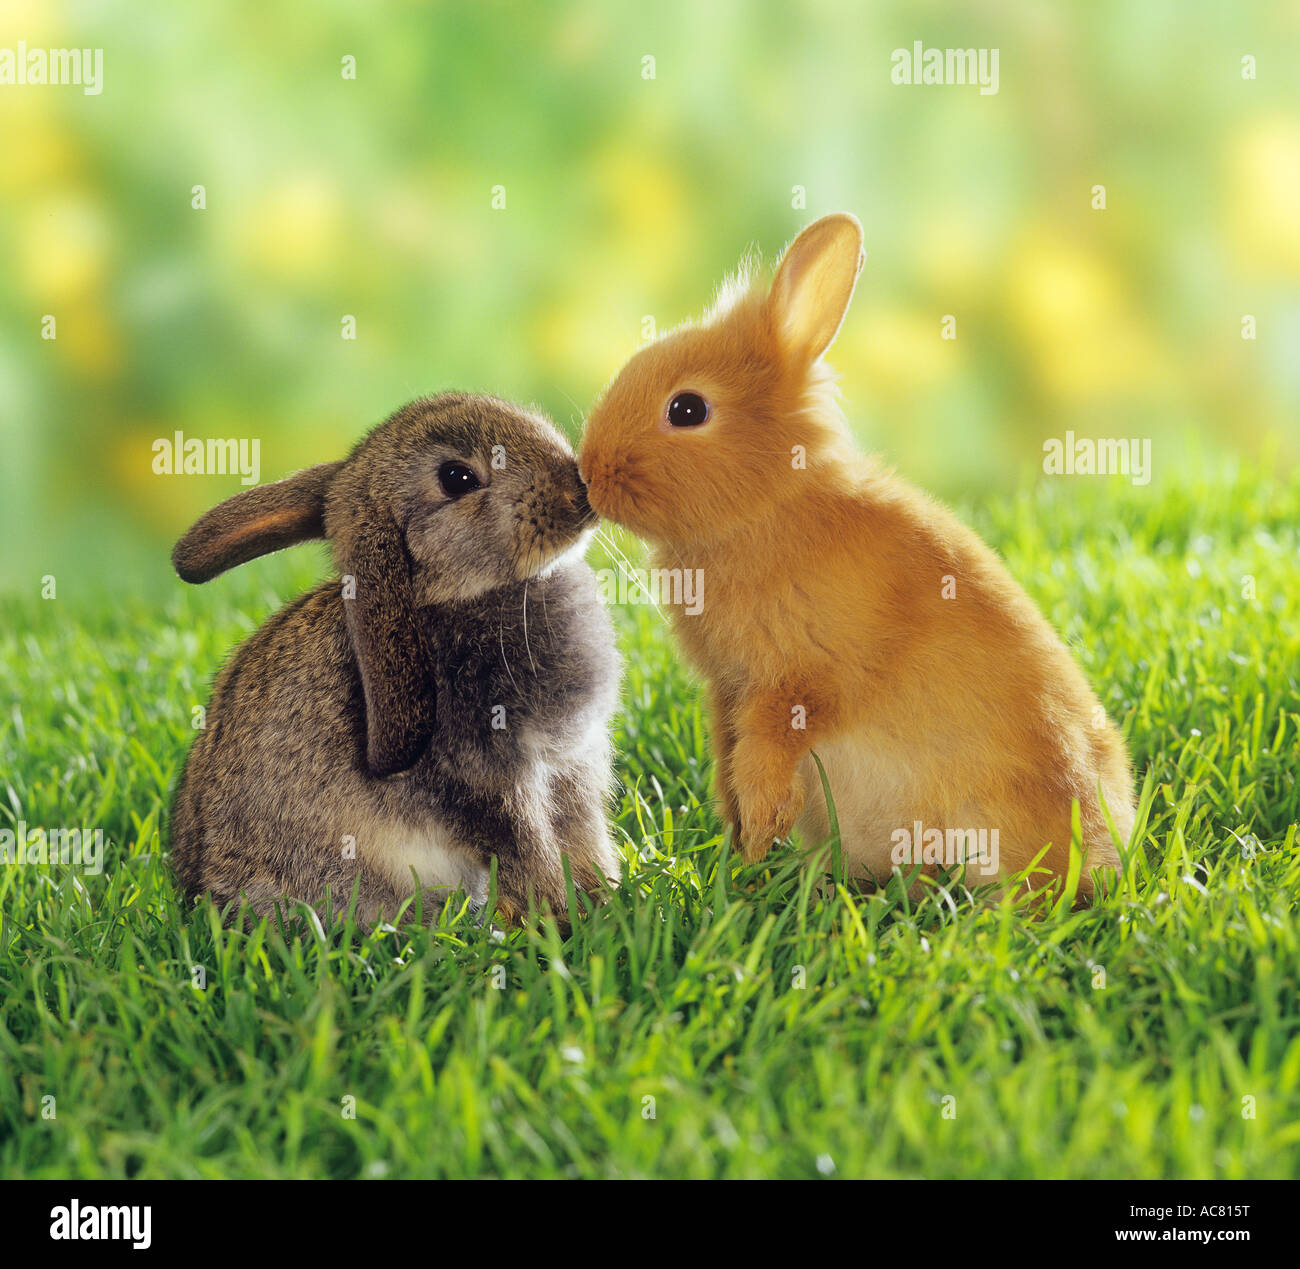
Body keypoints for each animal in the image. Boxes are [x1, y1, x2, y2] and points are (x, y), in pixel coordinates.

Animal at [171, 392, 624, 925]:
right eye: (457, 478)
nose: (579, 492)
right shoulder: (488, 781)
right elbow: (527, 849)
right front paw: (562, 916)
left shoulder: (572, 766)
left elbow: (583, 837)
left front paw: (605, 899)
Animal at [579, 213, 1138, 899]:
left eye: (687, 409)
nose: (589, 474)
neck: (770, 506)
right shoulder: (728, 692)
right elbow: (728, 761)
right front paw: (740, 846)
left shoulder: (797, 683)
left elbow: (765, 758)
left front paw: (758, 838)